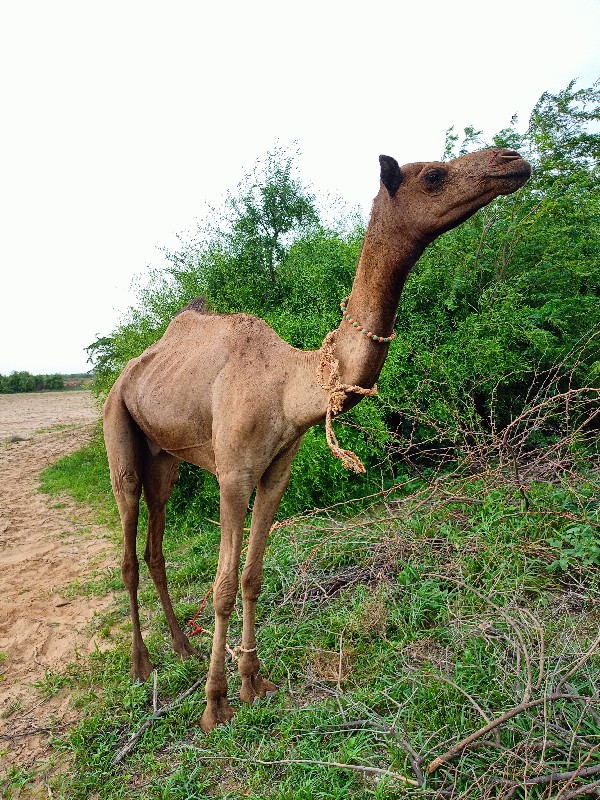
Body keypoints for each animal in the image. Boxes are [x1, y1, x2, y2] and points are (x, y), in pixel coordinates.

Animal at [103, 145, 528, 732]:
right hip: (118, 427)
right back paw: (143, 666)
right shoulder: (234, 474)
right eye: (434, 175)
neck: (291, 387)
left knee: (154, 546)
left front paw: (254, 683)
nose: (512, 160)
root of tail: (128, 371)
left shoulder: (276, 471)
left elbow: (253, 577)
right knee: (126, 546)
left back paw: (181, 648)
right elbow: (222, 587)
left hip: (164, 456)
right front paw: (216, 706)